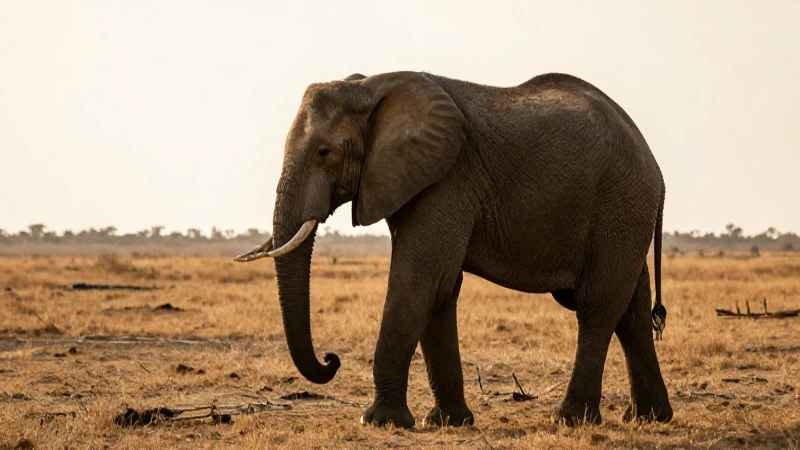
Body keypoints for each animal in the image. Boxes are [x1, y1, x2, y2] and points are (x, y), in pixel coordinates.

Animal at [235, 71, 673, 428]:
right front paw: (448, 422)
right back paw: (649, 418)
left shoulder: (447, 180)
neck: (371, 86)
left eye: (324, 153)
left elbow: (419, 283)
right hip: (624, 213)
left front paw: (379, 422)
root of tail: (656, 167)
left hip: (620, 203)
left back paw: (570, 419)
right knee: (631, 309)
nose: (332, 359)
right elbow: (440, 290)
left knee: (598, 306)